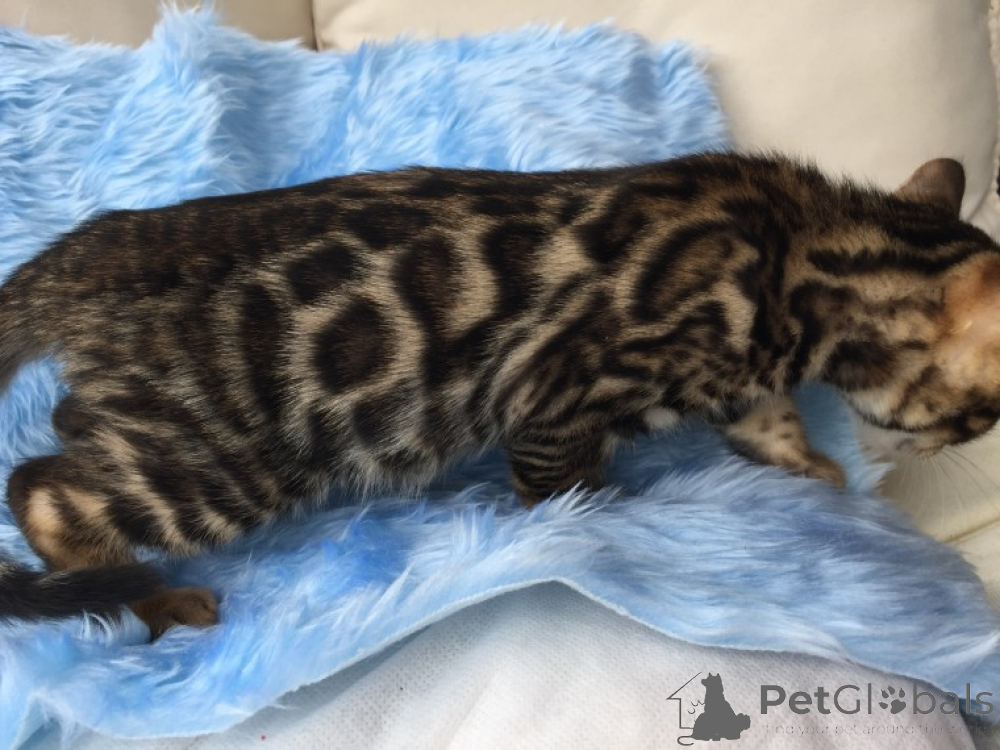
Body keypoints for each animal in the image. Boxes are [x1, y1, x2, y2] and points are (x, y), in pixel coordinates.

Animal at [0, 152, 998, 636]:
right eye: (984, 415)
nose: (955, 448)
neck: (812, 248)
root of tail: (98, 251)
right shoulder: (556, 398)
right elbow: (565, 487)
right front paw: (590, 523)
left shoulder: (743, 375)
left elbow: (768, 419)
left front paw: (811, 466)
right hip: (224, 461)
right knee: (42, 492)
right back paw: (148, 598)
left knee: (64, 437)